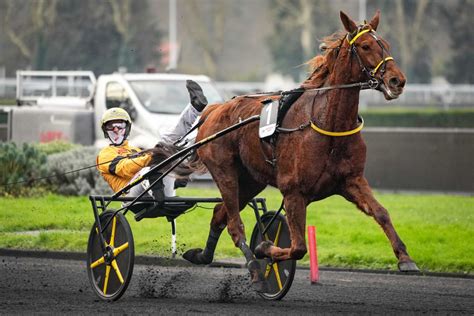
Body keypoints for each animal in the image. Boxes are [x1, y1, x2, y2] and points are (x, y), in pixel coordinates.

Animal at [181, 10, 418, 292]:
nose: (397, 80)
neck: (327, 123)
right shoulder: (294, 192)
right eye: (365, 46)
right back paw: (255, 271)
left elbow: (381, 212)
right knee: (234, 225)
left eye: (387, 45)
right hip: (224, 171)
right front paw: (264, 248)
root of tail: (215, 109)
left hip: (251, 179)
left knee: (219, 214)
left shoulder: (351, 181)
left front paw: (405, 258)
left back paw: (201, 255)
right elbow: (298, 247)